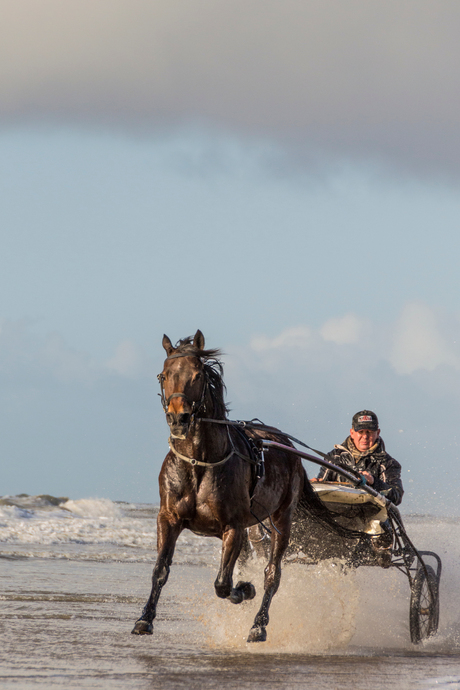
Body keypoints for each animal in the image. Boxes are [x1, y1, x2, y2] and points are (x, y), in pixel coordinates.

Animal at [132, 328, 328, 640]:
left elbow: (223, 584)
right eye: (163, 375)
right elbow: (160, 569)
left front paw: (244, 590)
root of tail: (284, 442)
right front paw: (145, 618)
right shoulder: (169, 517)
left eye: (197, 375)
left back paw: (259, 624)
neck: (198, 462)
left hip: (282, 517)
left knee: (272, 572)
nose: (178, 418)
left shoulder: (233, 525)